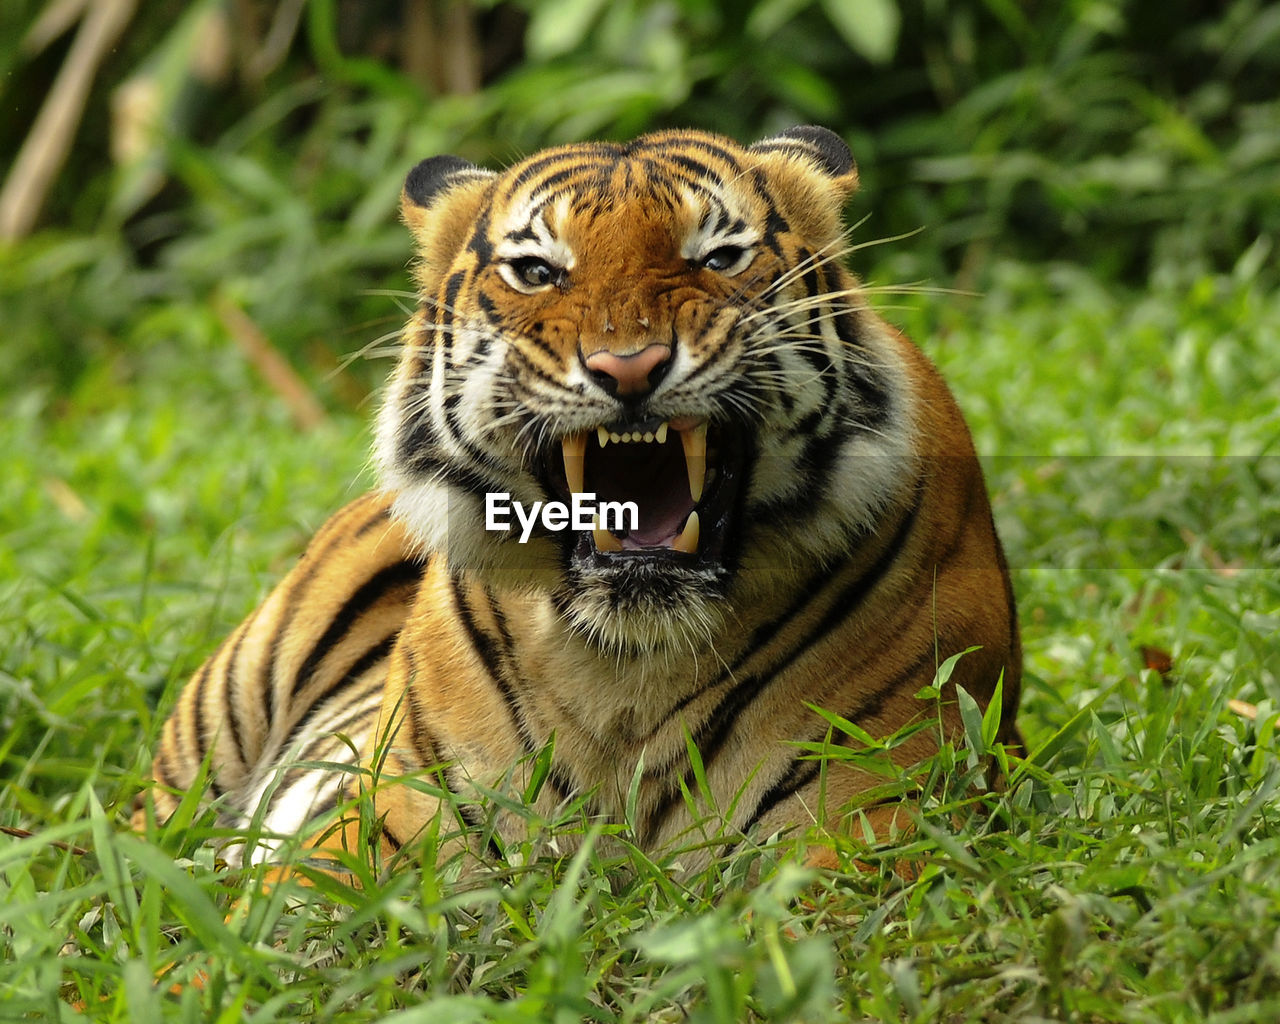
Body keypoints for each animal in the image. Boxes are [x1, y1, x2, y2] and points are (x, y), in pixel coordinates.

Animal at [137, 124, 1018, 870]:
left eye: (719, 258)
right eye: (537, 271)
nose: (630, 367)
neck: (627, 664)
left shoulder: (872, 818)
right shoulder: (388, 832)